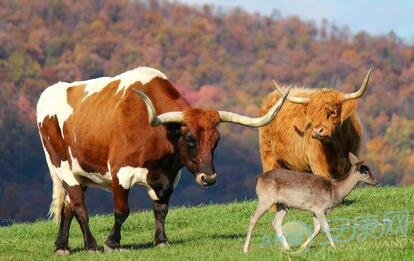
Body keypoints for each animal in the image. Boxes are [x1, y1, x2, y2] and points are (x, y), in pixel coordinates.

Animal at [36, 65, 288, 254]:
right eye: (189, 139)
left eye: (216, 140)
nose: (209, 178)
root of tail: (50, 92)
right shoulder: (120, 172)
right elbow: (122, 211)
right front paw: (112, 243)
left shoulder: (169, 176)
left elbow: (161, 209)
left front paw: (161, 240)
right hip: (61, 166)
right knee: (79, 206)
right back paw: (91, 245)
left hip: (79, 171)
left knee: (68, 206)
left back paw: (61, 246)